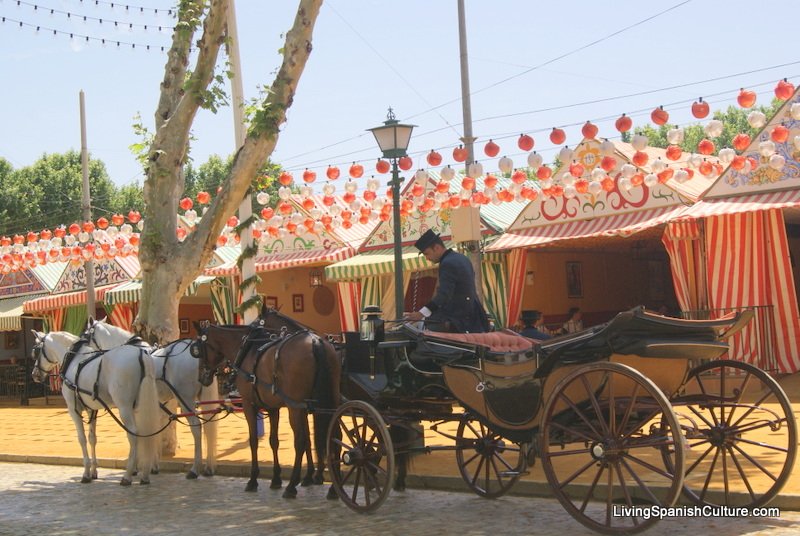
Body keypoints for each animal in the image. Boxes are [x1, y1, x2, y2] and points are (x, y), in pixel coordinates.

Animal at [31, 330, 159, 486]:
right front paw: (93, 471)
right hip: (138, 405)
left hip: (124, 407)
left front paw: (86, 473)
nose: (35, 375)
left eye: (36, 351)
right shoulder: (91, 410)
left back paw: (128, 475)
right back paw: (145, 474)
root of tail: (141, 354)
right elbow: (92, 438)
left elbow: (82, 439)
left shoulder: (73, 410)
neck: (74, 360)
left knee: (133, 433)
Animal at [85, 318, 220, 478]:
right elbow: (154, 430)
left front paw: (137, 466)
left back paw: (194, 469)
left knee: (196, 427)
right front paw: (153, 465)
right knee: (208, 425)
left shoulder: (132, 407)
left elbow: (138, 432)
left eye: (85, 334)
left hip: (185, 399)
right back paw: (208, 467)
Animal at [198, 318, 344, 498]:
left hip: (295, 407)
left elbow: (254, 440)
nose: (202, 377)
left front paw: (253, 479)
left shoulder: (248, 404)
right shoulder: (274, 407)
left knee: (300, 441)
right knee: (335, 436)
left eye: (198, 348)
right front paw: (276, 479)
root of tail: (315, 341)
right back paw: (334, 489)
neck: (247, 348)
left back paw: (292, 486)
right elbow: (274, 441)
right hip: (329, 402)